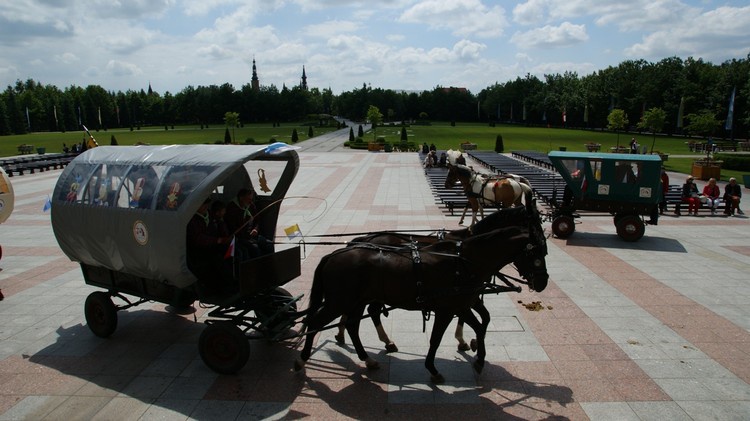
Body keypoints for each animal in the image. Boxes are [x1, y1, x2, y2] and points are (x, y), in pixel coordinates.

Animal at [338, 202, 536, 352]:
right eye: (533, 223)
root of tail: (365, 239)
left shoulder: (469, 293)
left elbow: (485, 317)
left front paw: (471, 341)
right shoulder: (464, 293)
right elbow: (472, 316)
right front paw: (465, 340)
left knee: (366, 309)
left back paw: (345, 334)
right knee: (371, 310)